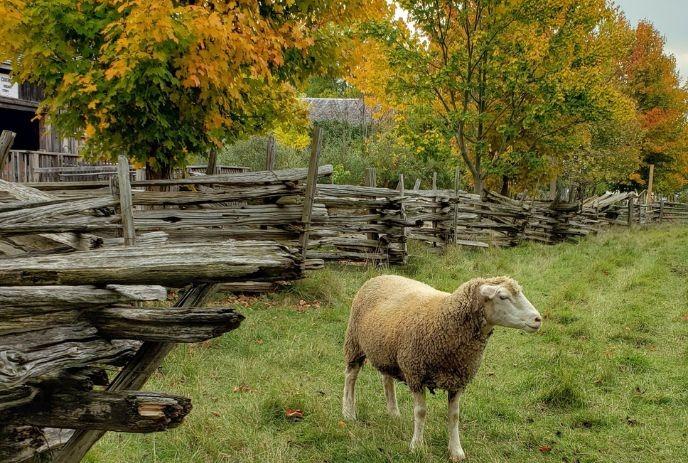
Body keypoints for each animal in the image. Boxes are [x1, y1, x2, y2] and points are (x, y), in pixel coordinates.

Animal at [342, 276, 540, 460]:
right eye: (503, 296)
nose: (538, 319)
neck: (444, 319)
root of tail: (380, 276)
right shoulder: (415, 374)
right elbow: (420, 412)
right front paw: (416, 446)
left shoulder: (458, 380)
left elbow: (454, 416)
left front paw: (456, 451)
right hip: (354, 342)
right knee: (351, 376)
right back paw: (348, 413)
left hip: (385, 349)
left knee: (386, 378)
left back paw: (393, 412)